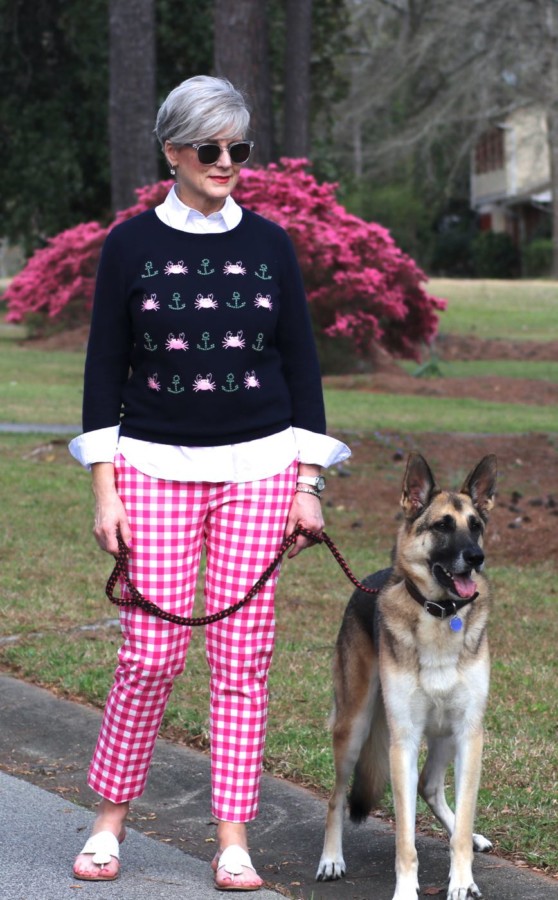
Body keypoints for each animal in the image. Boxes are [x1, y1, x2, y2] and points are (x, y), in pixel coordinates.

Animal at [320, 454, 498, 900]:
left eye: (476, 525)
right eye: (442, 526)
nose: (475, 557)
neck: (441, 614)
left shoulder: (470, 733)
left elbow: (463, 816)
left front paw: (462, 878)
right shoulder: (403, 741)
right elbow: (404, 836)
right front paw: (405, 889)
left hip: (446, 734)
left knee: (431, 788)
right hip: (354, 726)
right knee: (336, 797)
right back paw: (331, 858)